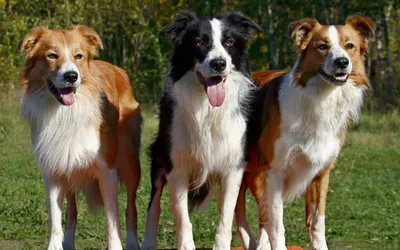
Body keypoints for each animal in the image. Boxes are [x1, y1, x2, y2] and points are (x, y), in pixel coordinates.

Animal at [19, 25, 144, 250]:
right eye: (52, 55)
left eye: (79, 56)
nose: (71, 76)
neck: (65, 113)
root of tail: (119, 70)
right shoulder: (52, 171)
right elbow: (55, 218)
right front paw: (55, 245)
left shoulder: (107, 171)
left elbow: (112, 220)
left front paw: (115, 245)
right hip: (67, 164)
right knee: (72, 210)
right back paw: (68, 241)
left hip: (130, 162)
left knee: (131, 207)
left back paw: (132, 242)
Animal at [142, 10, 260, 249]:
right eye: (198, 42)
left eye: (229, 42)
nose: (219, 63)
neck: (207, 108)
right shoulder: (176, 166)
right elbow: (182, 217)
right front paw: (186, 245)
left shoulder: (234, 167)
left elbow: (226, 216)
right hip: (159, 156)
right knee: (153, 204)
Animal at [236, 15, 374, 250]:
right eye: (322, 46)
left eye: (350, 46)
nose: (342, 62)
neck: (321, 97)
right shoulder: (275, 171)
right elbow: (277, 223)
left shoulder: (321, 172)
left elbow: (317, 221)